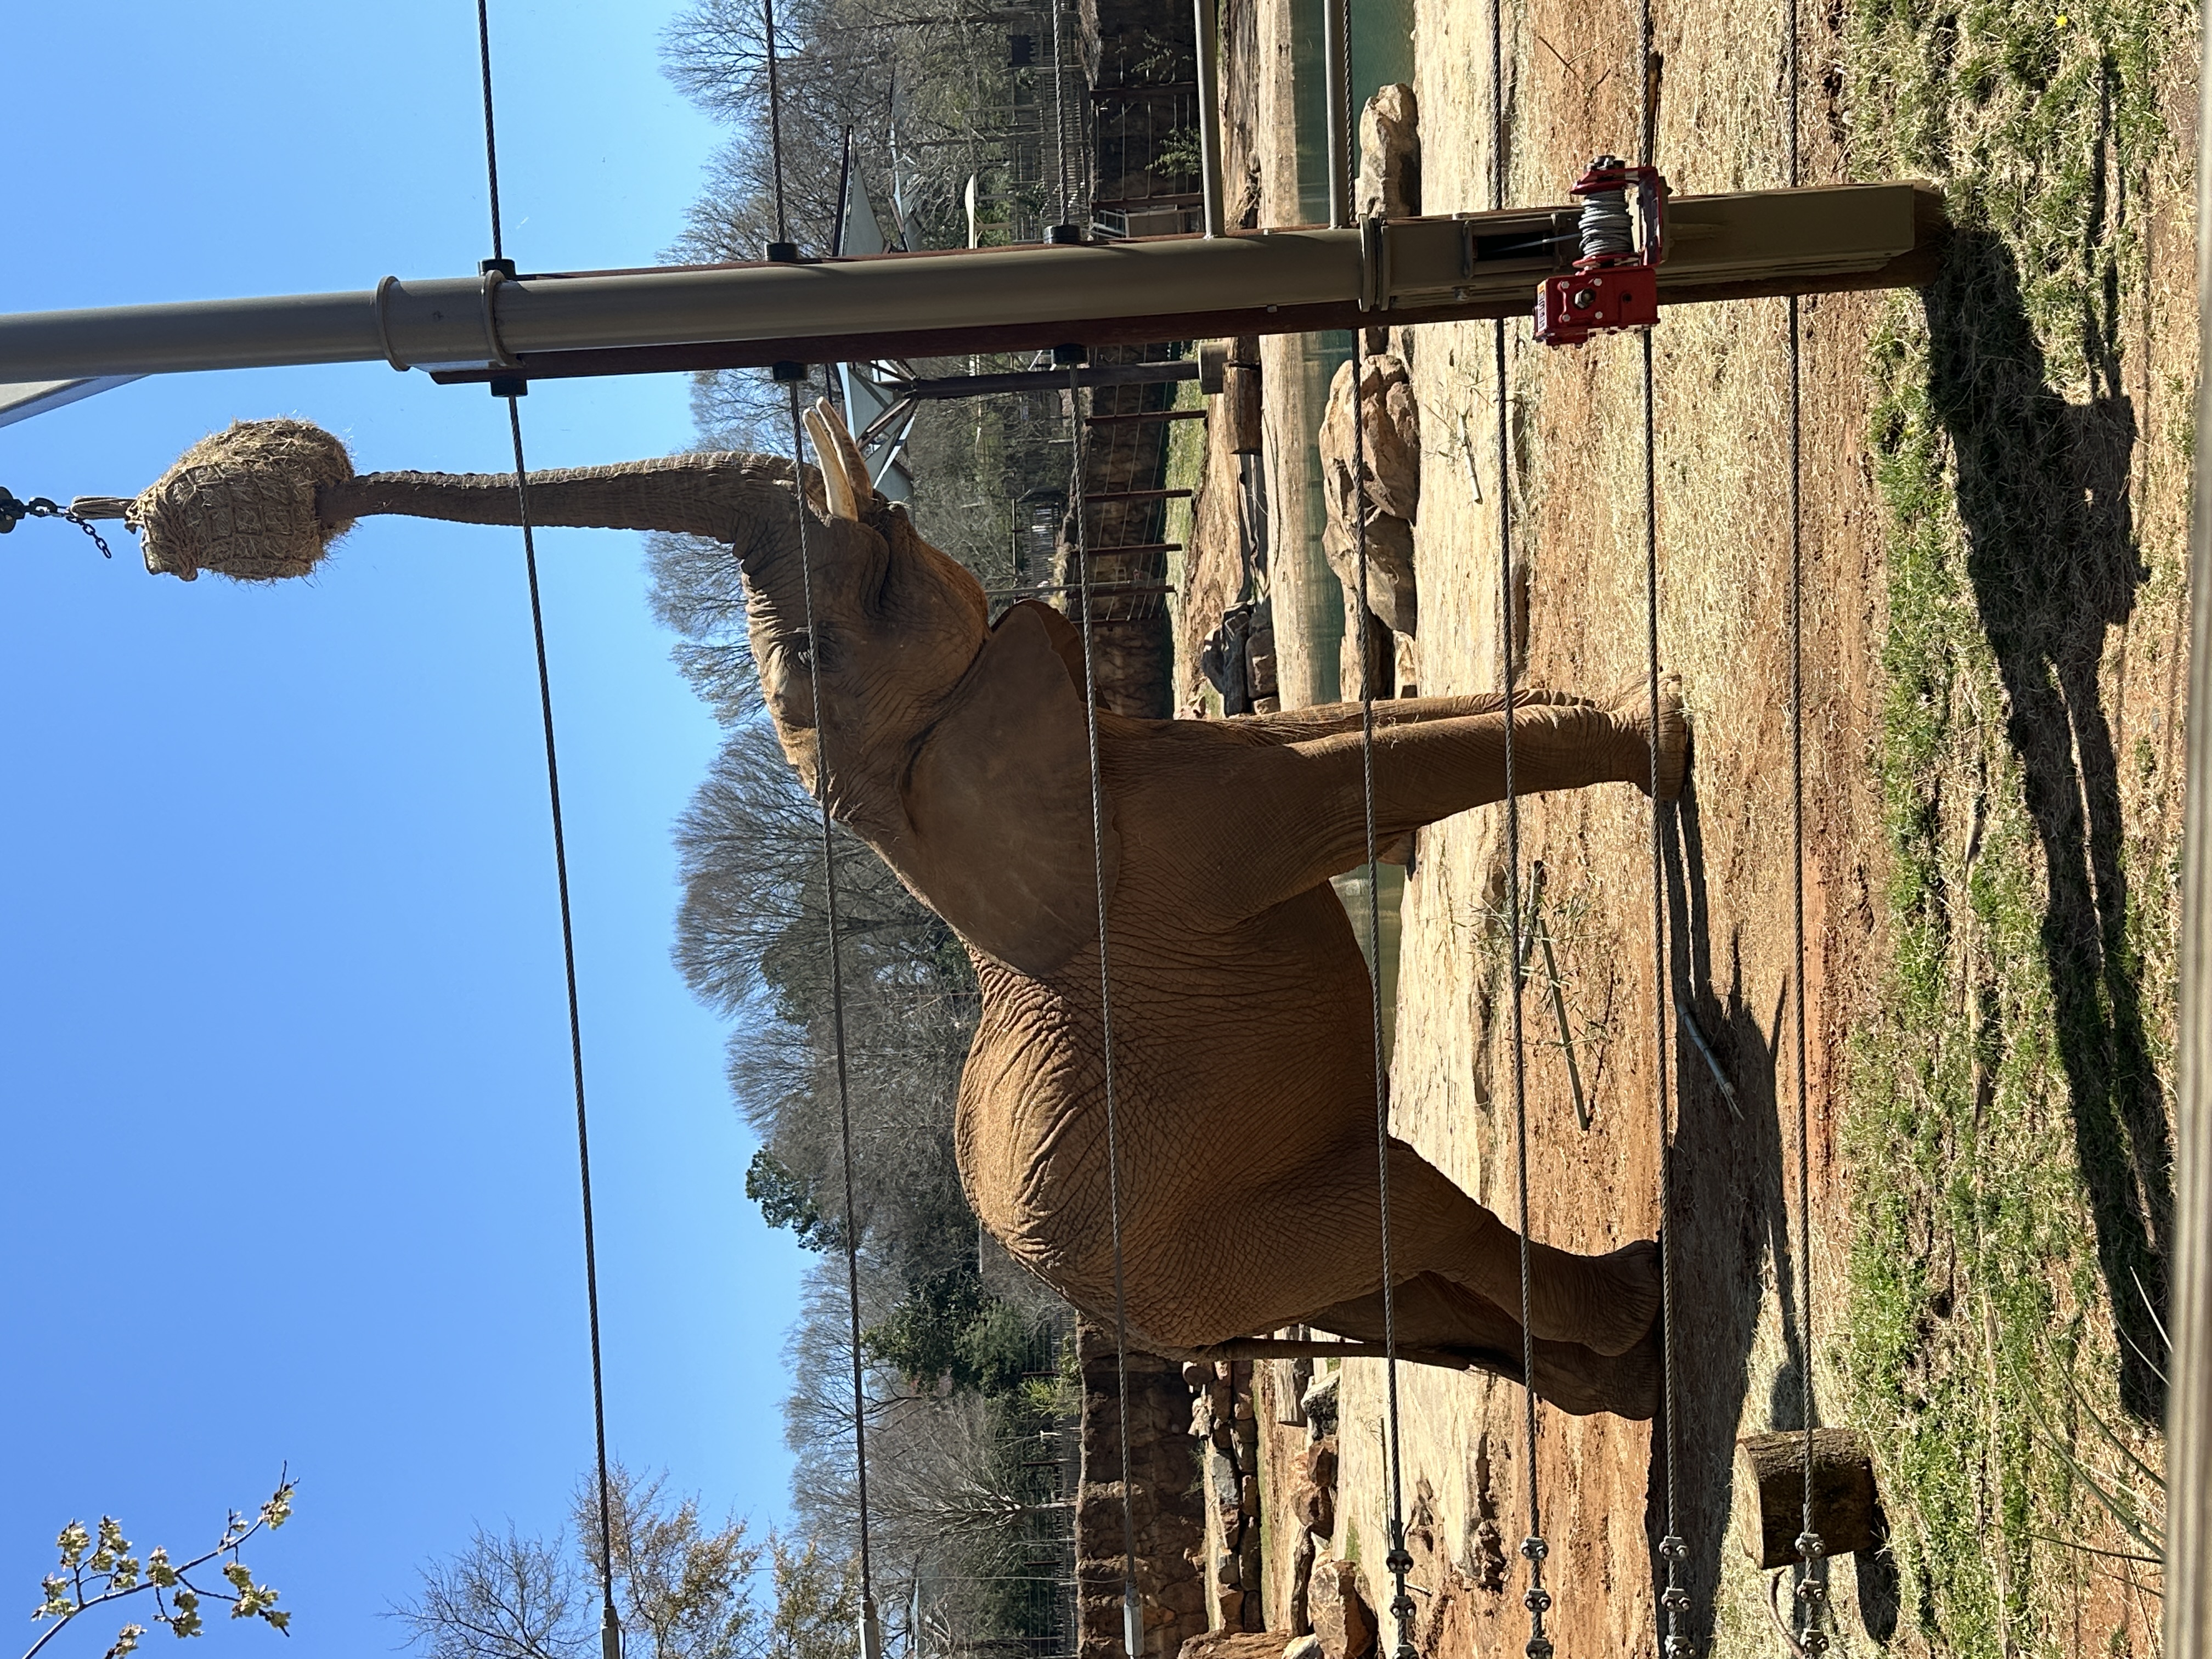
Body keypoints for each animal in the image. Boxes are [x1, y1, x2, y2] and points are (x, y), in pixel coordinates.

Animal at [115, 407, 1686, 1417]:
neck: (894, 810)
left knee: (1403, 1265)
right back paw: (1643, 1315)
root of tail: (1116, 1322)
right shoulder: (1153, 848)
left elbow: (1330, 742)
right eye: (826, 638)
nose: (289, 491)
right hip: (1211, 1240)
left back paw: (1622, 1362)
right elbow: (1338, 780)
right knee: (1404, 1213)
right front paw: (1664, 731)